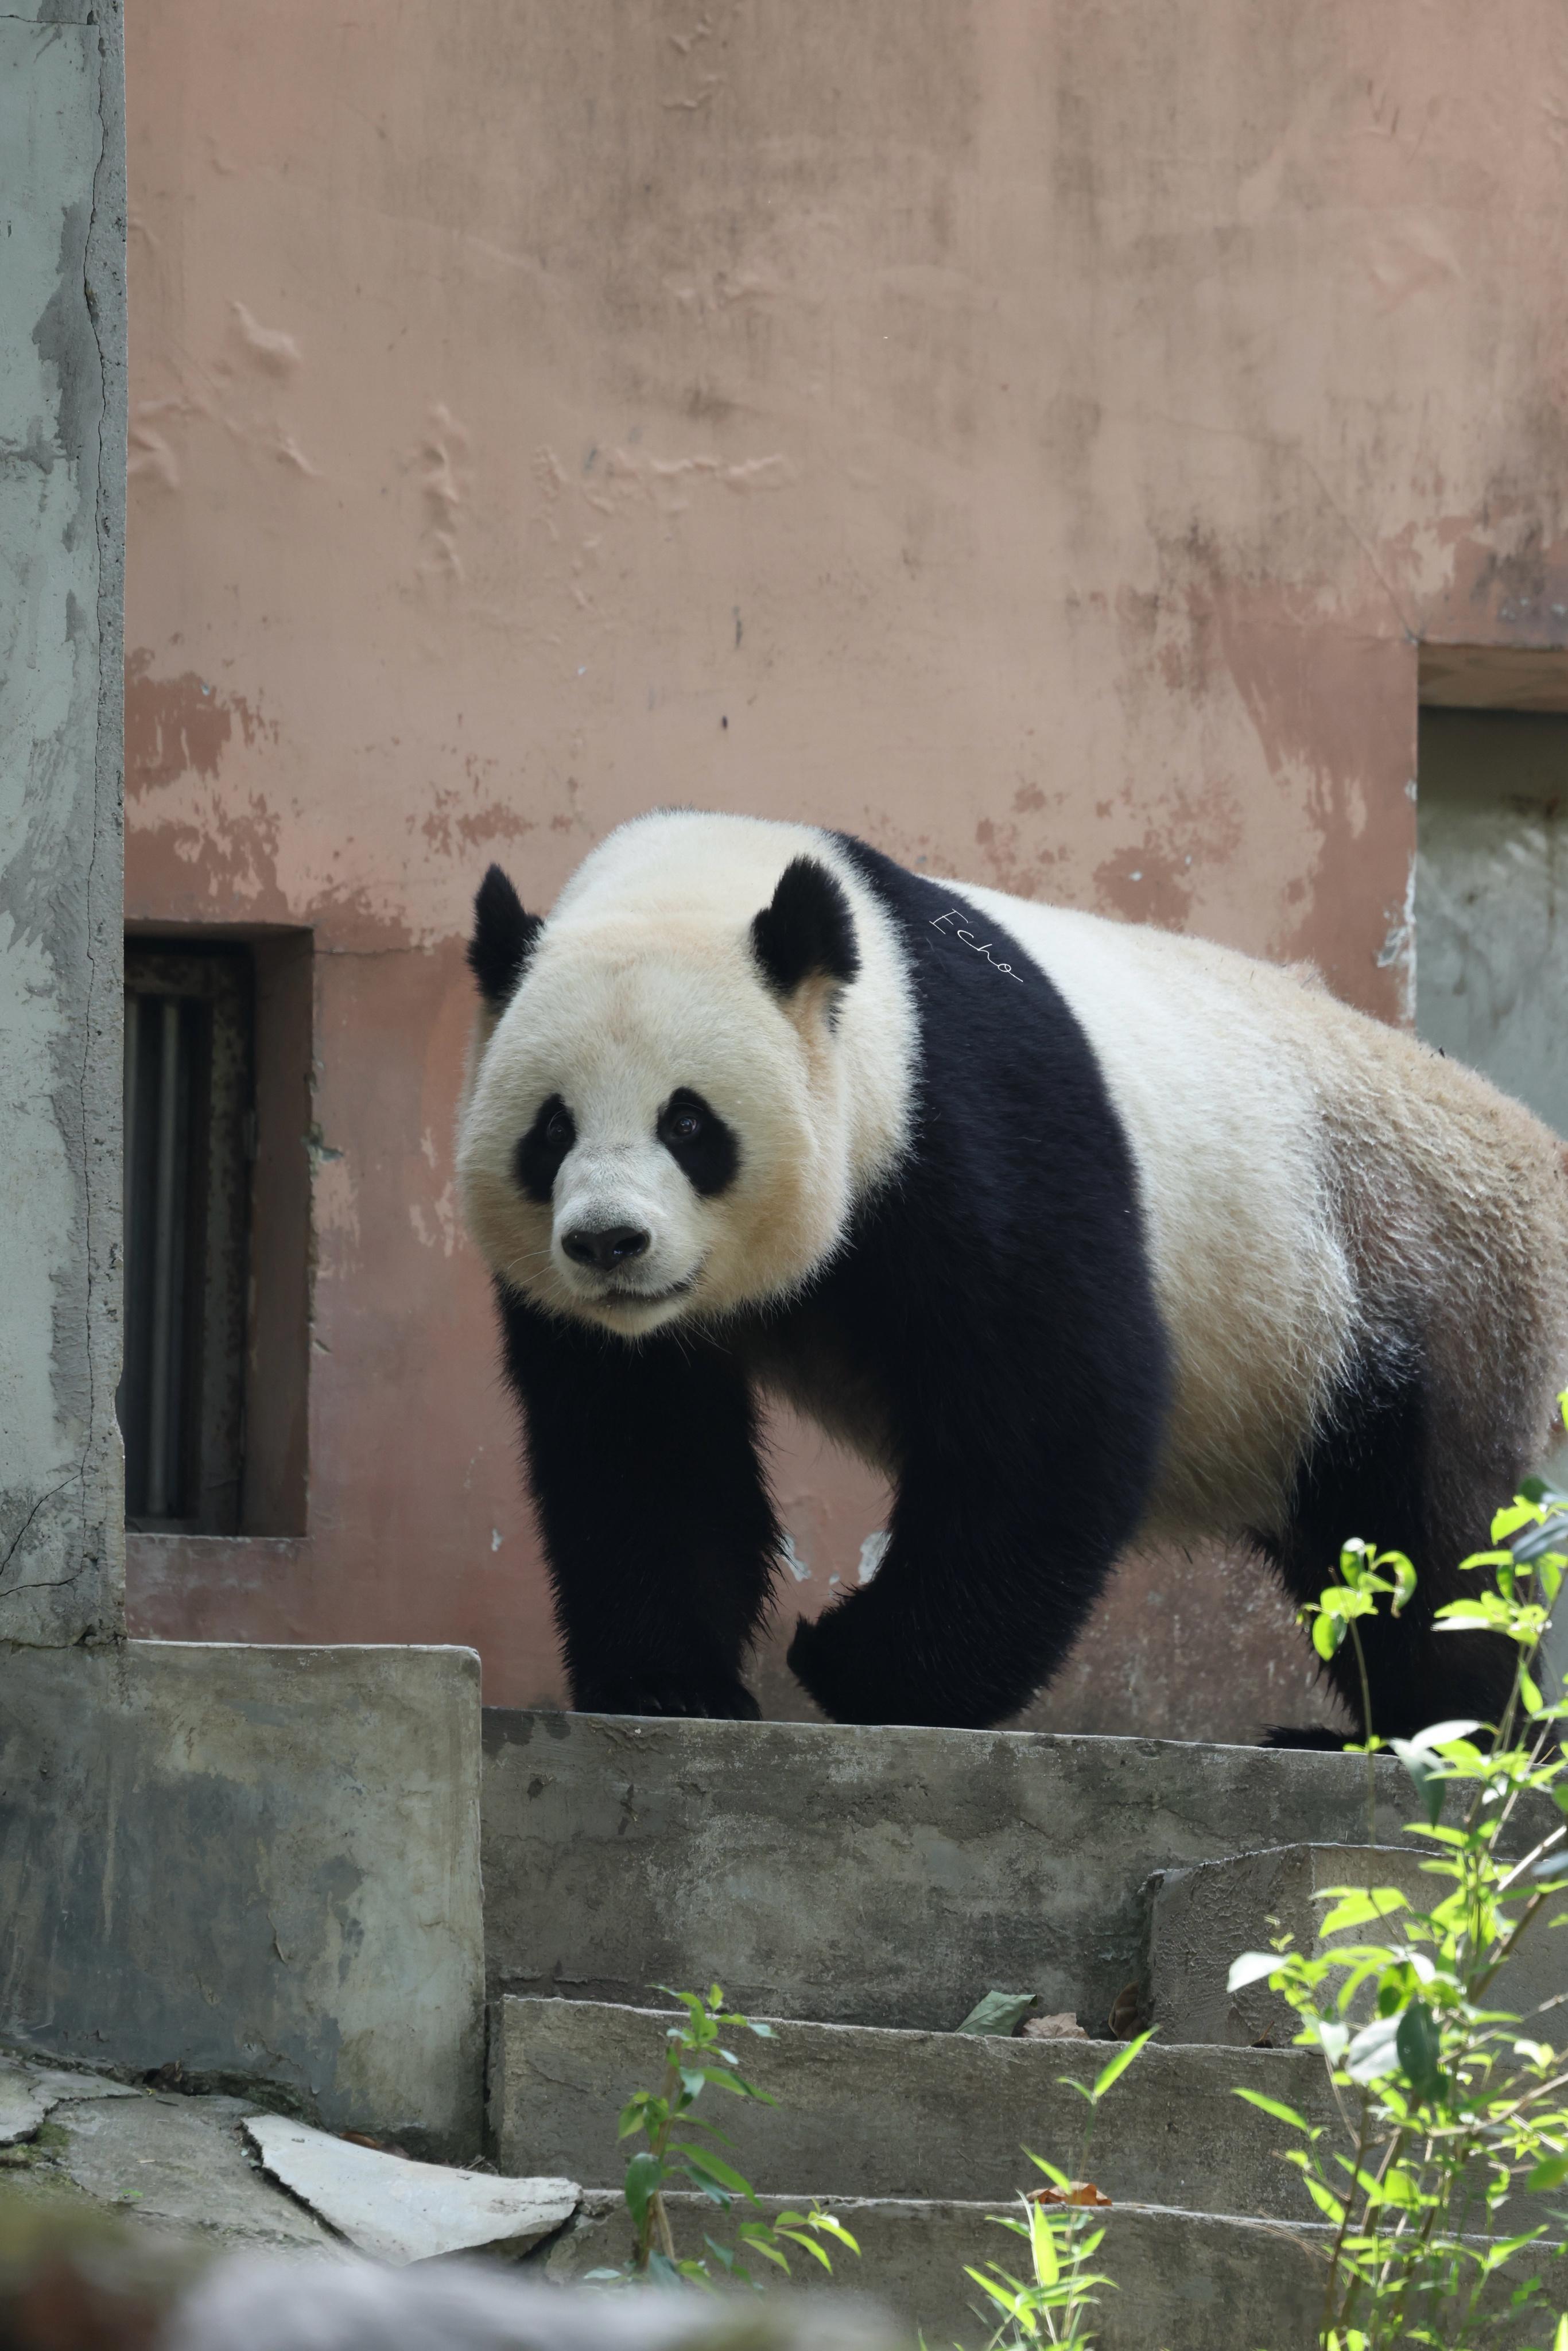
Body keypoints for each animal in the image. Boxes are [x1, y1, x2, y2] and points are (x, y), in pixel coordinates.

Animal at [455, 808, 1568, 1740]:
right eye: (551, 1130)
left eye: (687, 1124)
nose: (609, 1243)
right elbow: (640, 1448)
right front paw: (668, 1685)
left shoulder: (965, 1113)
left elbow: (1052, 1411)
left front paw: (856, 1664)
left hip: (1401, 1275)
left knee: (1424, 1539)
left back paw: (1439, 1737)